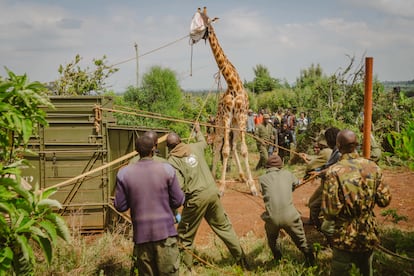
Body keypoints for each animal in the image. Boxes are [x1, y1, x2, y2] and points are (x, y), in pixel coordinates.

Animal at [190, 7, 256, 196]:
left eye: (204, 20)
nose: (191, 36)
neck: (233, 85)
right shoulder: (226, 116)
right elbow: (224, 150)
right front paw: (221, 187)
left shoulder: (241, 117)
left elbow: (243, 150)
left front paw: (252, 186)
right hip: (220, 122)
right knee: (219, 143)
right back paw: (214, 177)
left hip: (234, 123)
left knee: (232, 146)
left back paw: (241, 177)